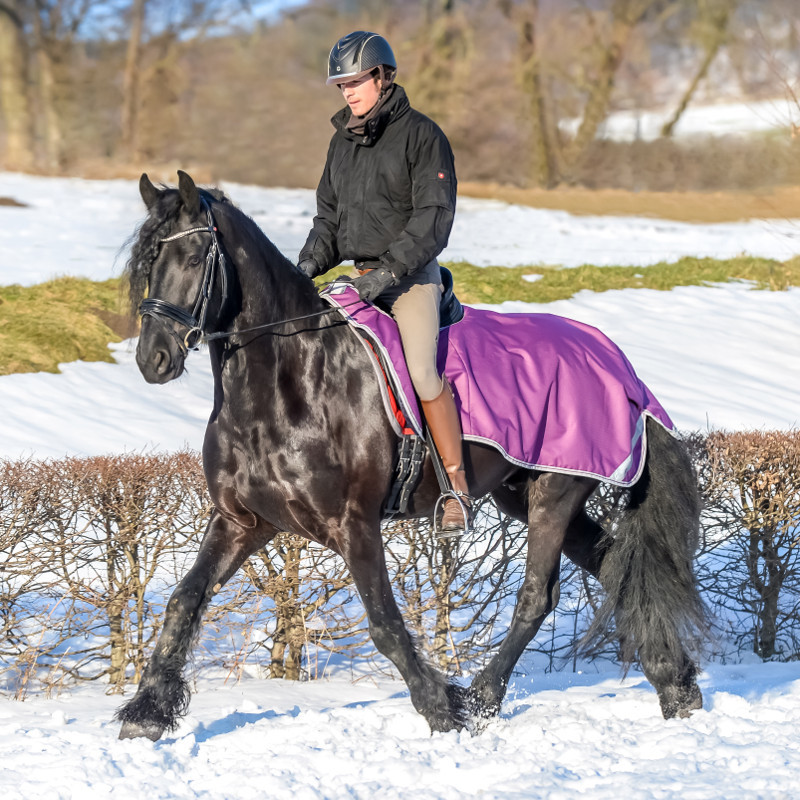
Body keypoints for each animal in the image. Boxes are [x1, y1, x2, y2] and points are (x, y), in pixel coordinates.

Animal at [115, 172, 704, 740]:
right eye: (147, 264)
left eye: (195, 258)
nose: (152, 359)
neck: (285, 383)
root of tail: (616, 361)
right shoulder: (242, 521)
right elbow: (184, 601)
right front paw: (147, 712)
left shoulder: (352, 523)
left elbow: (384, 624)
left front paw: (441, 709)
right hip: (524, 494)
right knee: (618, 570)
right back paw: (676, 686)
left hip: (555, 494)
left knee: (537, 596)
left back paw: (483, 698)